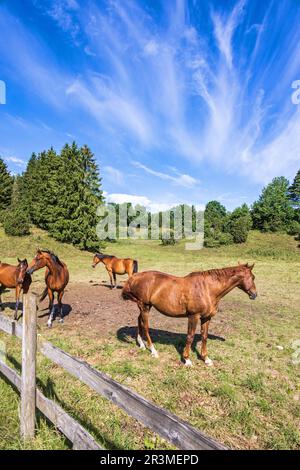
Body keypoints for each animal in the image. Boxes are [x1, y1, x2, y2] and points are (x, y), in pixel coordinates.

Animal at [120, 262, 256, 366]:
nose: (254, 294)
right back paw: (153, 351)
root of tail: (135, 277)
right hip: (145, 307)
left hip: (144, 307)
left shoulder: (206, 318)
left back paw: (141, 344)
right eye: (253, 277)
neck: (208, 289)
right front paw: (187, 360)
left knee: (139, 321)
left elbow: (204, 337)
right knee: (146, 326)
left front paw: (206, 359)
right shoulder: (193, 316)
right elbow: (190, 337)